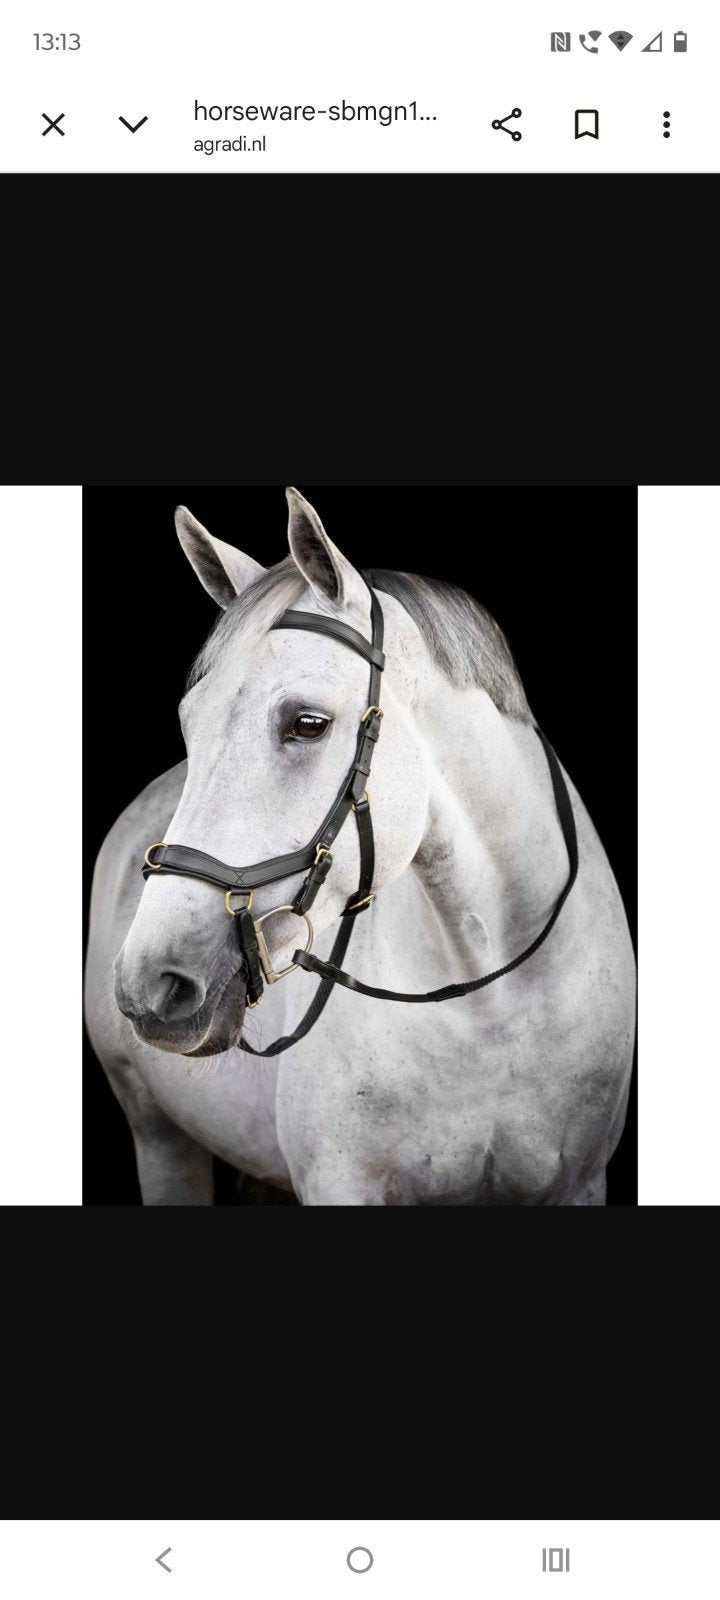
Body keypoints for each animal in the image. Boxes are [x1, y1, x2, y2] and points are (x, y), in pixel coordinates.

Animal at [85, 488, 636, 1204]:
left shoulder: (581, 1181)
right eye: (188, 721)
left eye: (308, 724)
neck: (493, 1003)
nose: (152, 983)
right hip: (160, 1140)